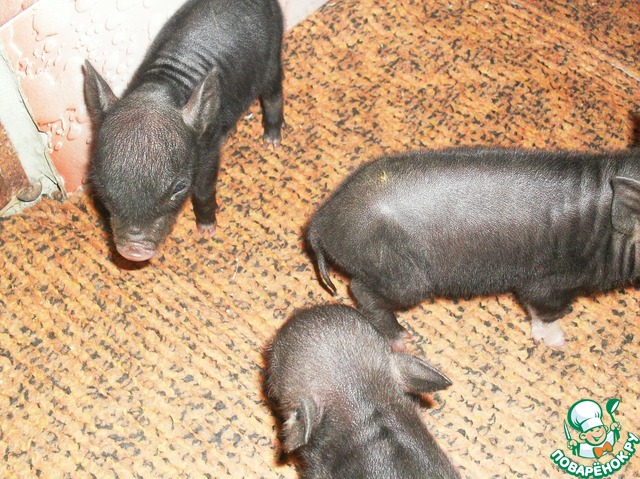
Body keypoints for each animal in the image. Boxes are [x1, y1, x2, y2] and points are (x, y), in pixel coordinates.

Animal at [84, 0, 284, 261]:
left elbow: (204, 189)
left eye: (179, 187)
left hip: (273, 50)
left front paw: (207, 231)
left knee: (273, 92)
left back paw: (272, 141)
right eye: (101, 188)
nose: (133, 252)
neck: (161, 86)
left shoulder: (207, 151)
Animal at [306, 138, 640, 348]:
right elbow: (546, 310)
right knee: (360, 289)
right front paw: (558, 344)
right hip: (395, 271)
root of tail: (321, 222)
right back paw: (403, 341)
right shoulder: (547, 280)